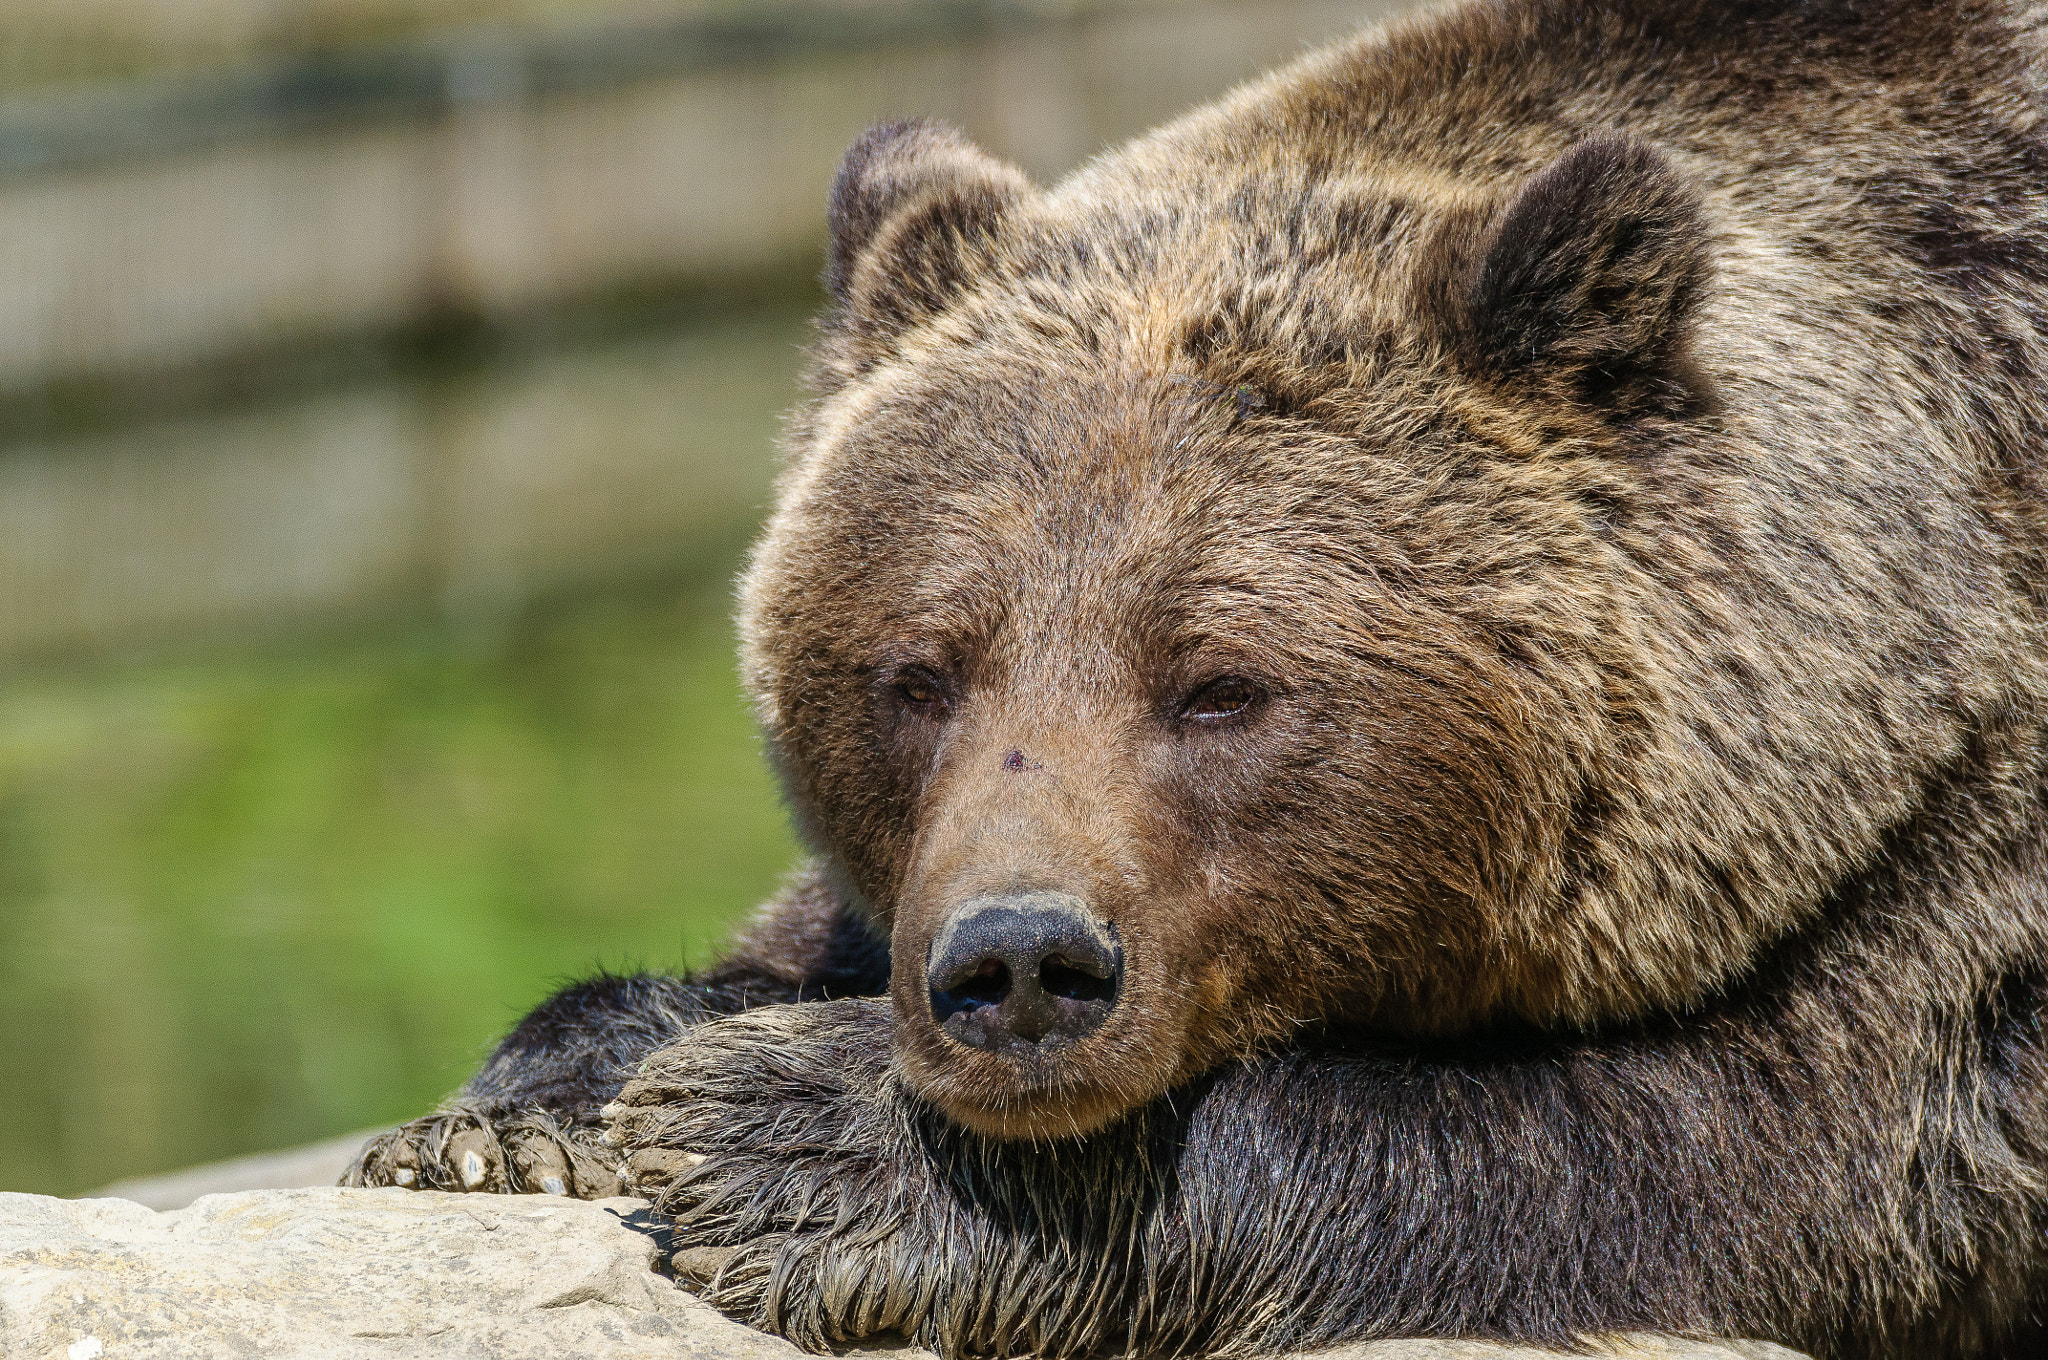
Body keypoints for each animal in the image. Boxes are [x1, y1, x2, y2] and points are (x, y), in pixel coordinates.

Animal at [344, 0, 2048, 1351]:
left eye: (1221, 685)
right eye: (922, 672)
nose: (1021, 966)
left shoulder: (1954, 872)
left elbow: (1750, 1144)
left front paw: (791, 1142)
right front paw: (517, 1118)